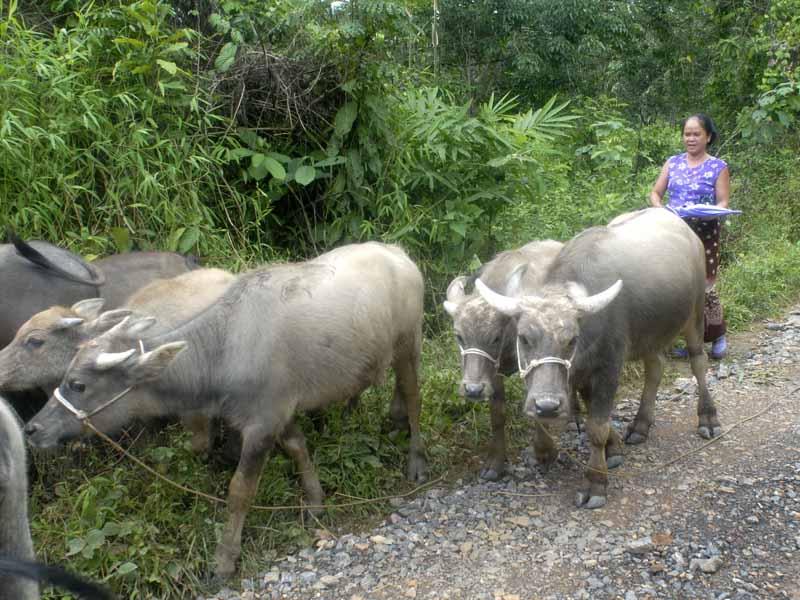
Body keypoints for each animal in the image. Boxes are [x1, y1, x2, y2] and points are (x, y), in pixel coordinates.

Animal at [23, 241, 424, 580]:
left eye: (78, 384)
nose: (32, 429)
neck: (224, 348)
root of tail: (397, 253)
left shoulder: (261, 426)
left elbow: (239, 490)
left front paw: (224, 559)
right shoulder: (279, 412)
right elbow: (298, 447)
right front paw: (314, 501)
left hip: (409, 343)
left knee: (413, 396)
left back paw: (416, 461)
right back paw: (393, 422)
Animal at [444, 239, 564, 478]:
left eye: (495, 337)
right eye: (459, 336)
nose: (472, 390)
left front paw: (545, 452)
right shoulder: (493, 375)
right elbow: (497, 415)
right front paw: (496, 463)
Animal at [476, 209, 720, 508]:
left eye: (571, 339)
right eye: (523, 338)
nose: (547, 406)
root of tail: (684, 228)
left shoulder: (609, 367)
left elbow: (598, 427)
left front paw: (596, 481)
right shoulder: (580, 373)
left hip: (695, 312)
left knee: (698, 362)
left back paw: (708, 418)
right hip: (650, 333)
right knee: (655, 368)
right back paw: (640, 425)